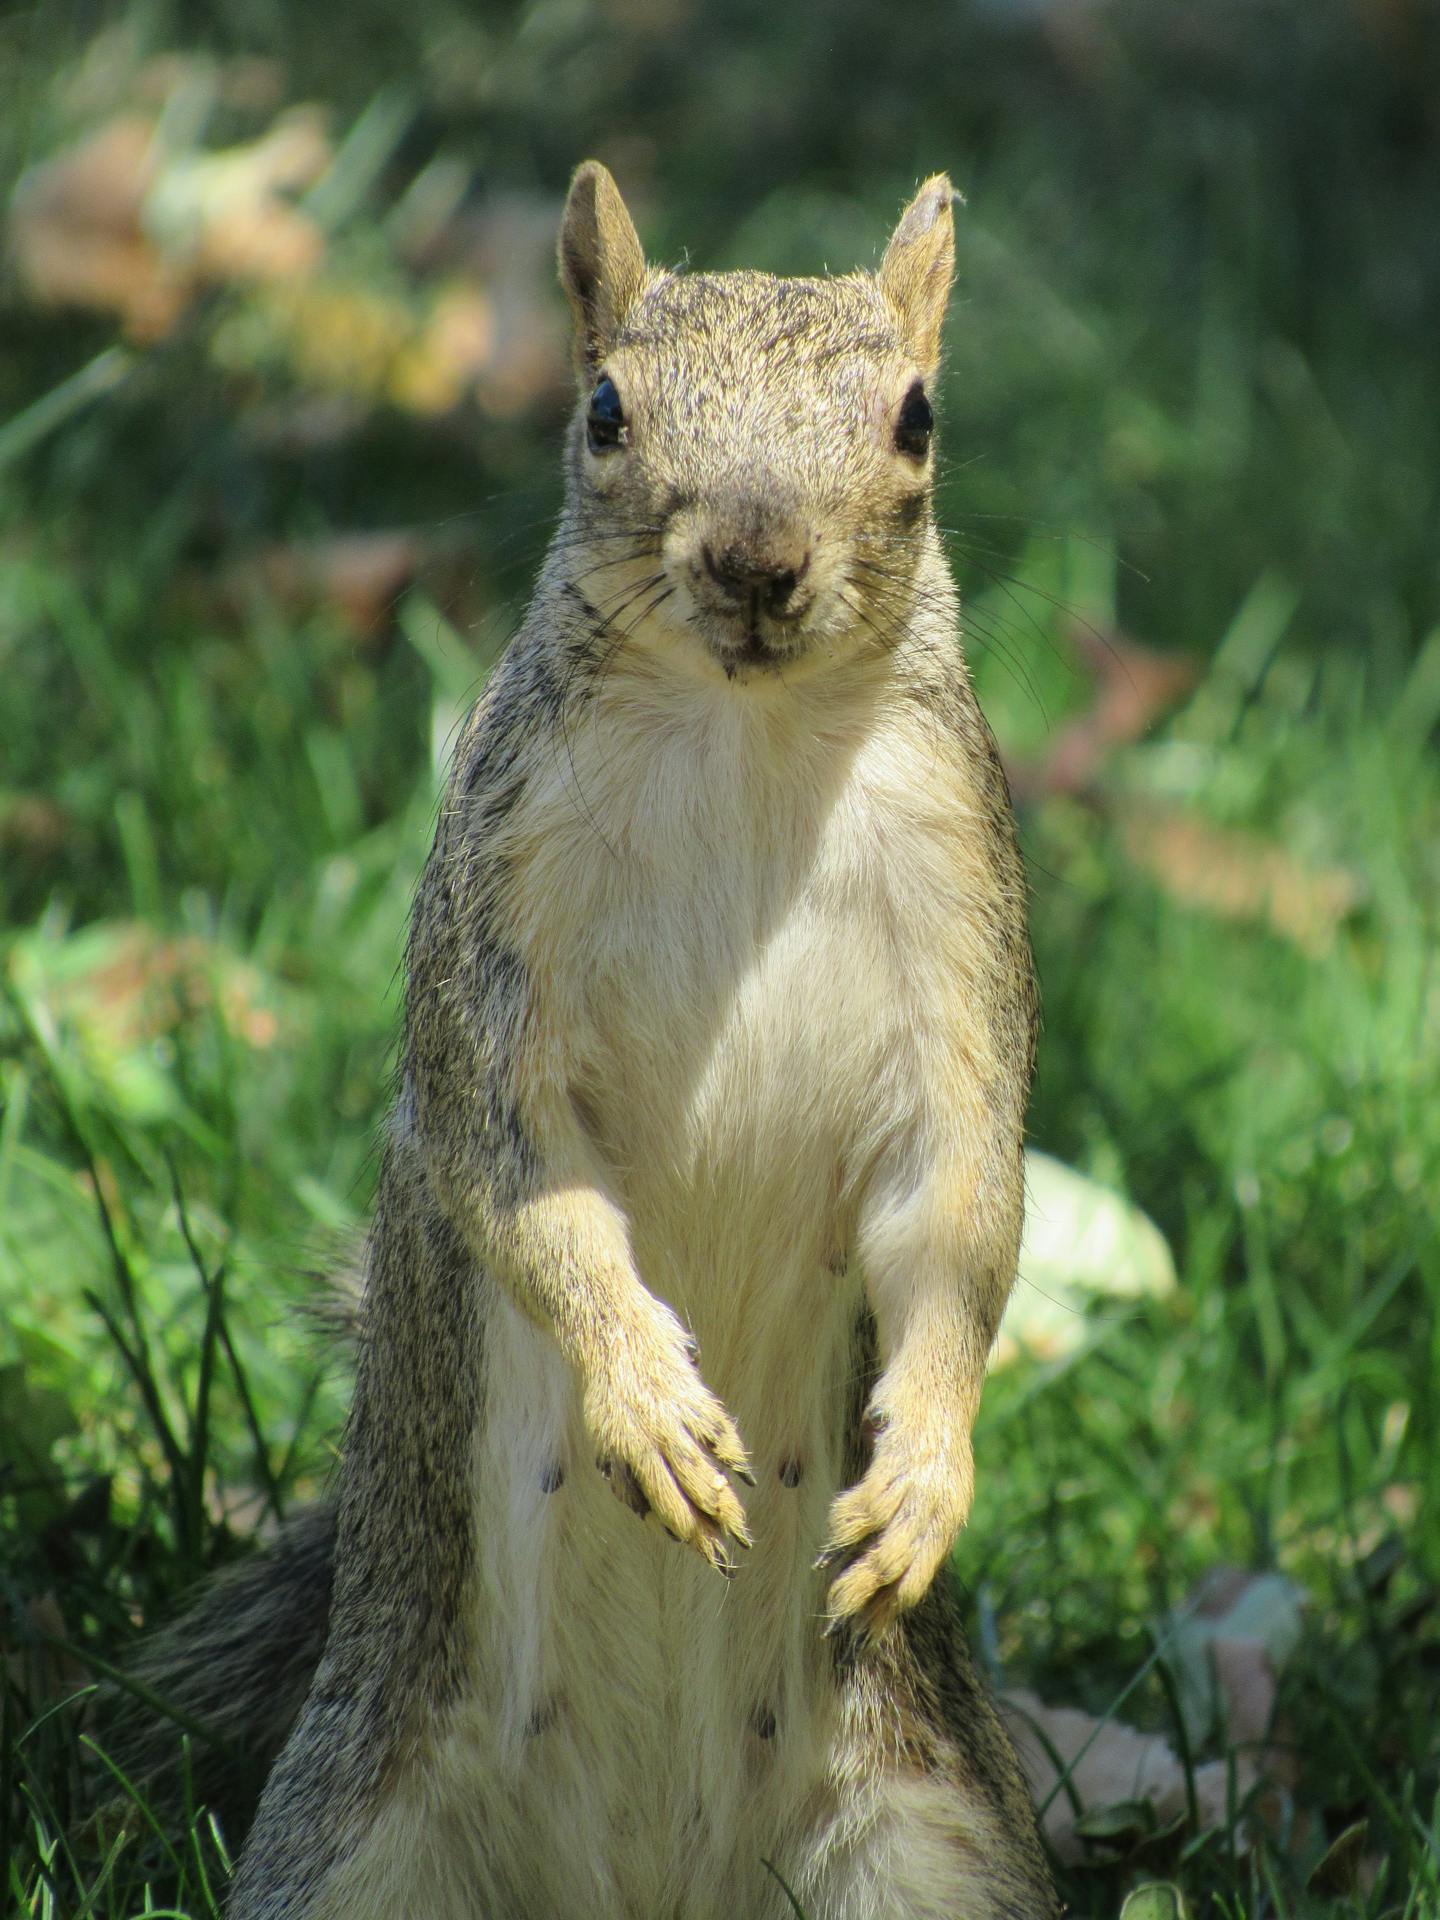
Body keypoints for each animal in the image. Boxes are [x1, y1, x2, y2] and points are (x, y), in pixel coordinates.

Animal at [121, 163, 1059, 1920]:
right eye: (606, 409)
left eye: (916, 417)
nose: (757, 558)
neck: (746, 739)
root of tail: (646, 1889)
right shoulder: (494, 942)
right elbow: (520, 1184)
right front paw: (646, 1403)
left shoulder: (966, 933)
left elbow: (960, 1209)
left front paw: (925, 1480)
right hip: (362, 1843)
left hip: (931, 1839)